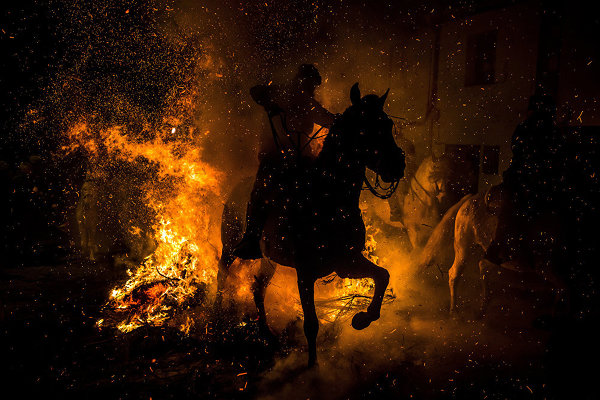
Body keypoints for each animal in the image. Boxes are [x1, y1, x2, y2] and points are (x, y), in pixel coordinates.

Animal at [216, 83, 404, 366]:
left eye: (388, 124)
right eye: (364, 128)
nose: (398, 165)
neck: (327, 199)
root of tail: (237, 189)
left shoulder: (347, 262)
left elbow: (383, 276)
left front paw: (362, 319)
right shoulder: (305, 272)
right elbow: (311, 324)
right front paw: (313, 366)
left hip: (269, 261)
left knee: (258, 288)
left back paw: (267, 334)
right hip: (230, 248)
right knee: (222, 275)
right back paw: (215, 316)